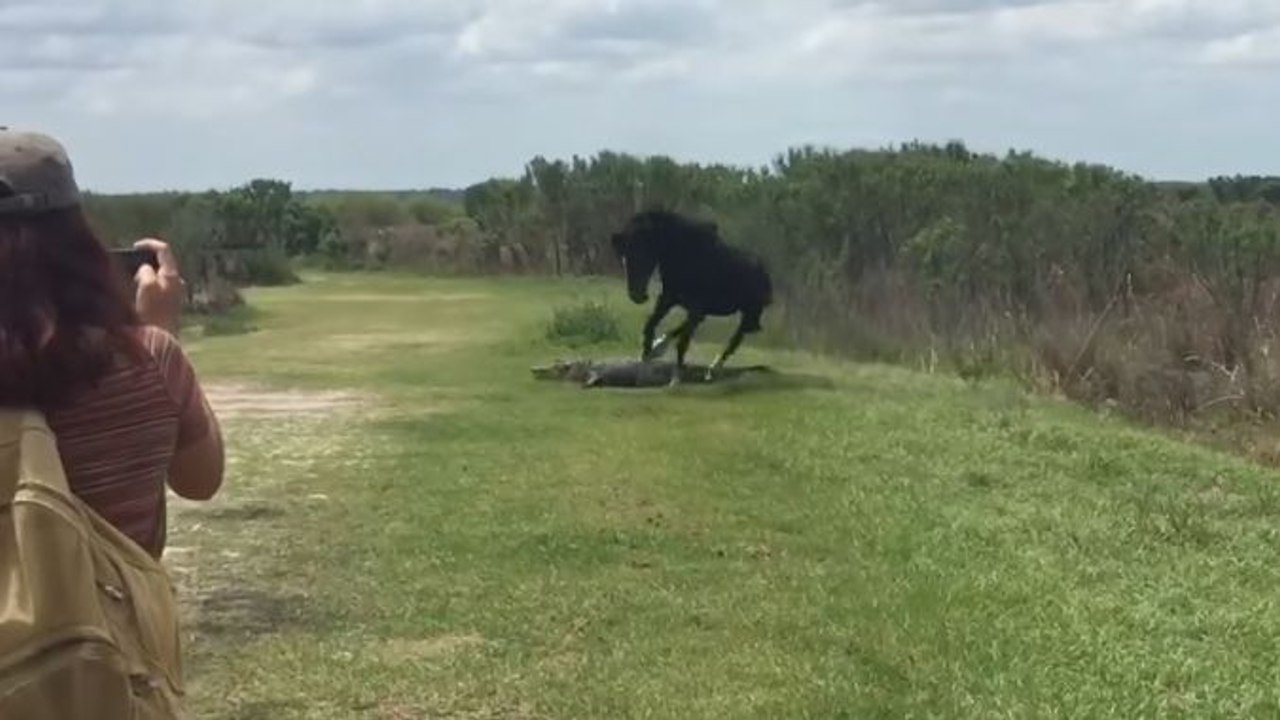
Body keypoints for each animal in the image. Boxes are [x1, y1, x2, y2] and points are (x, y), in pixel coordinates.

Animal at [609, 209, 773, 384]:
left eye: (643, 256)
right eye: (625, 258)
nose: (637, 296)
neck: (685, 257)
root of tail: (764, 270)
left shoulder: (695, 307)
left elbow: (683, 342)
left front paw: (675, 379)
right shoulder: (668, 299)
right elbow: (650, 325)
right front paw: (646, 355)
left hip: (749, 313)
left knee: (736, 338)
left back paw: (713, 369)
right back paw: (661, 347)